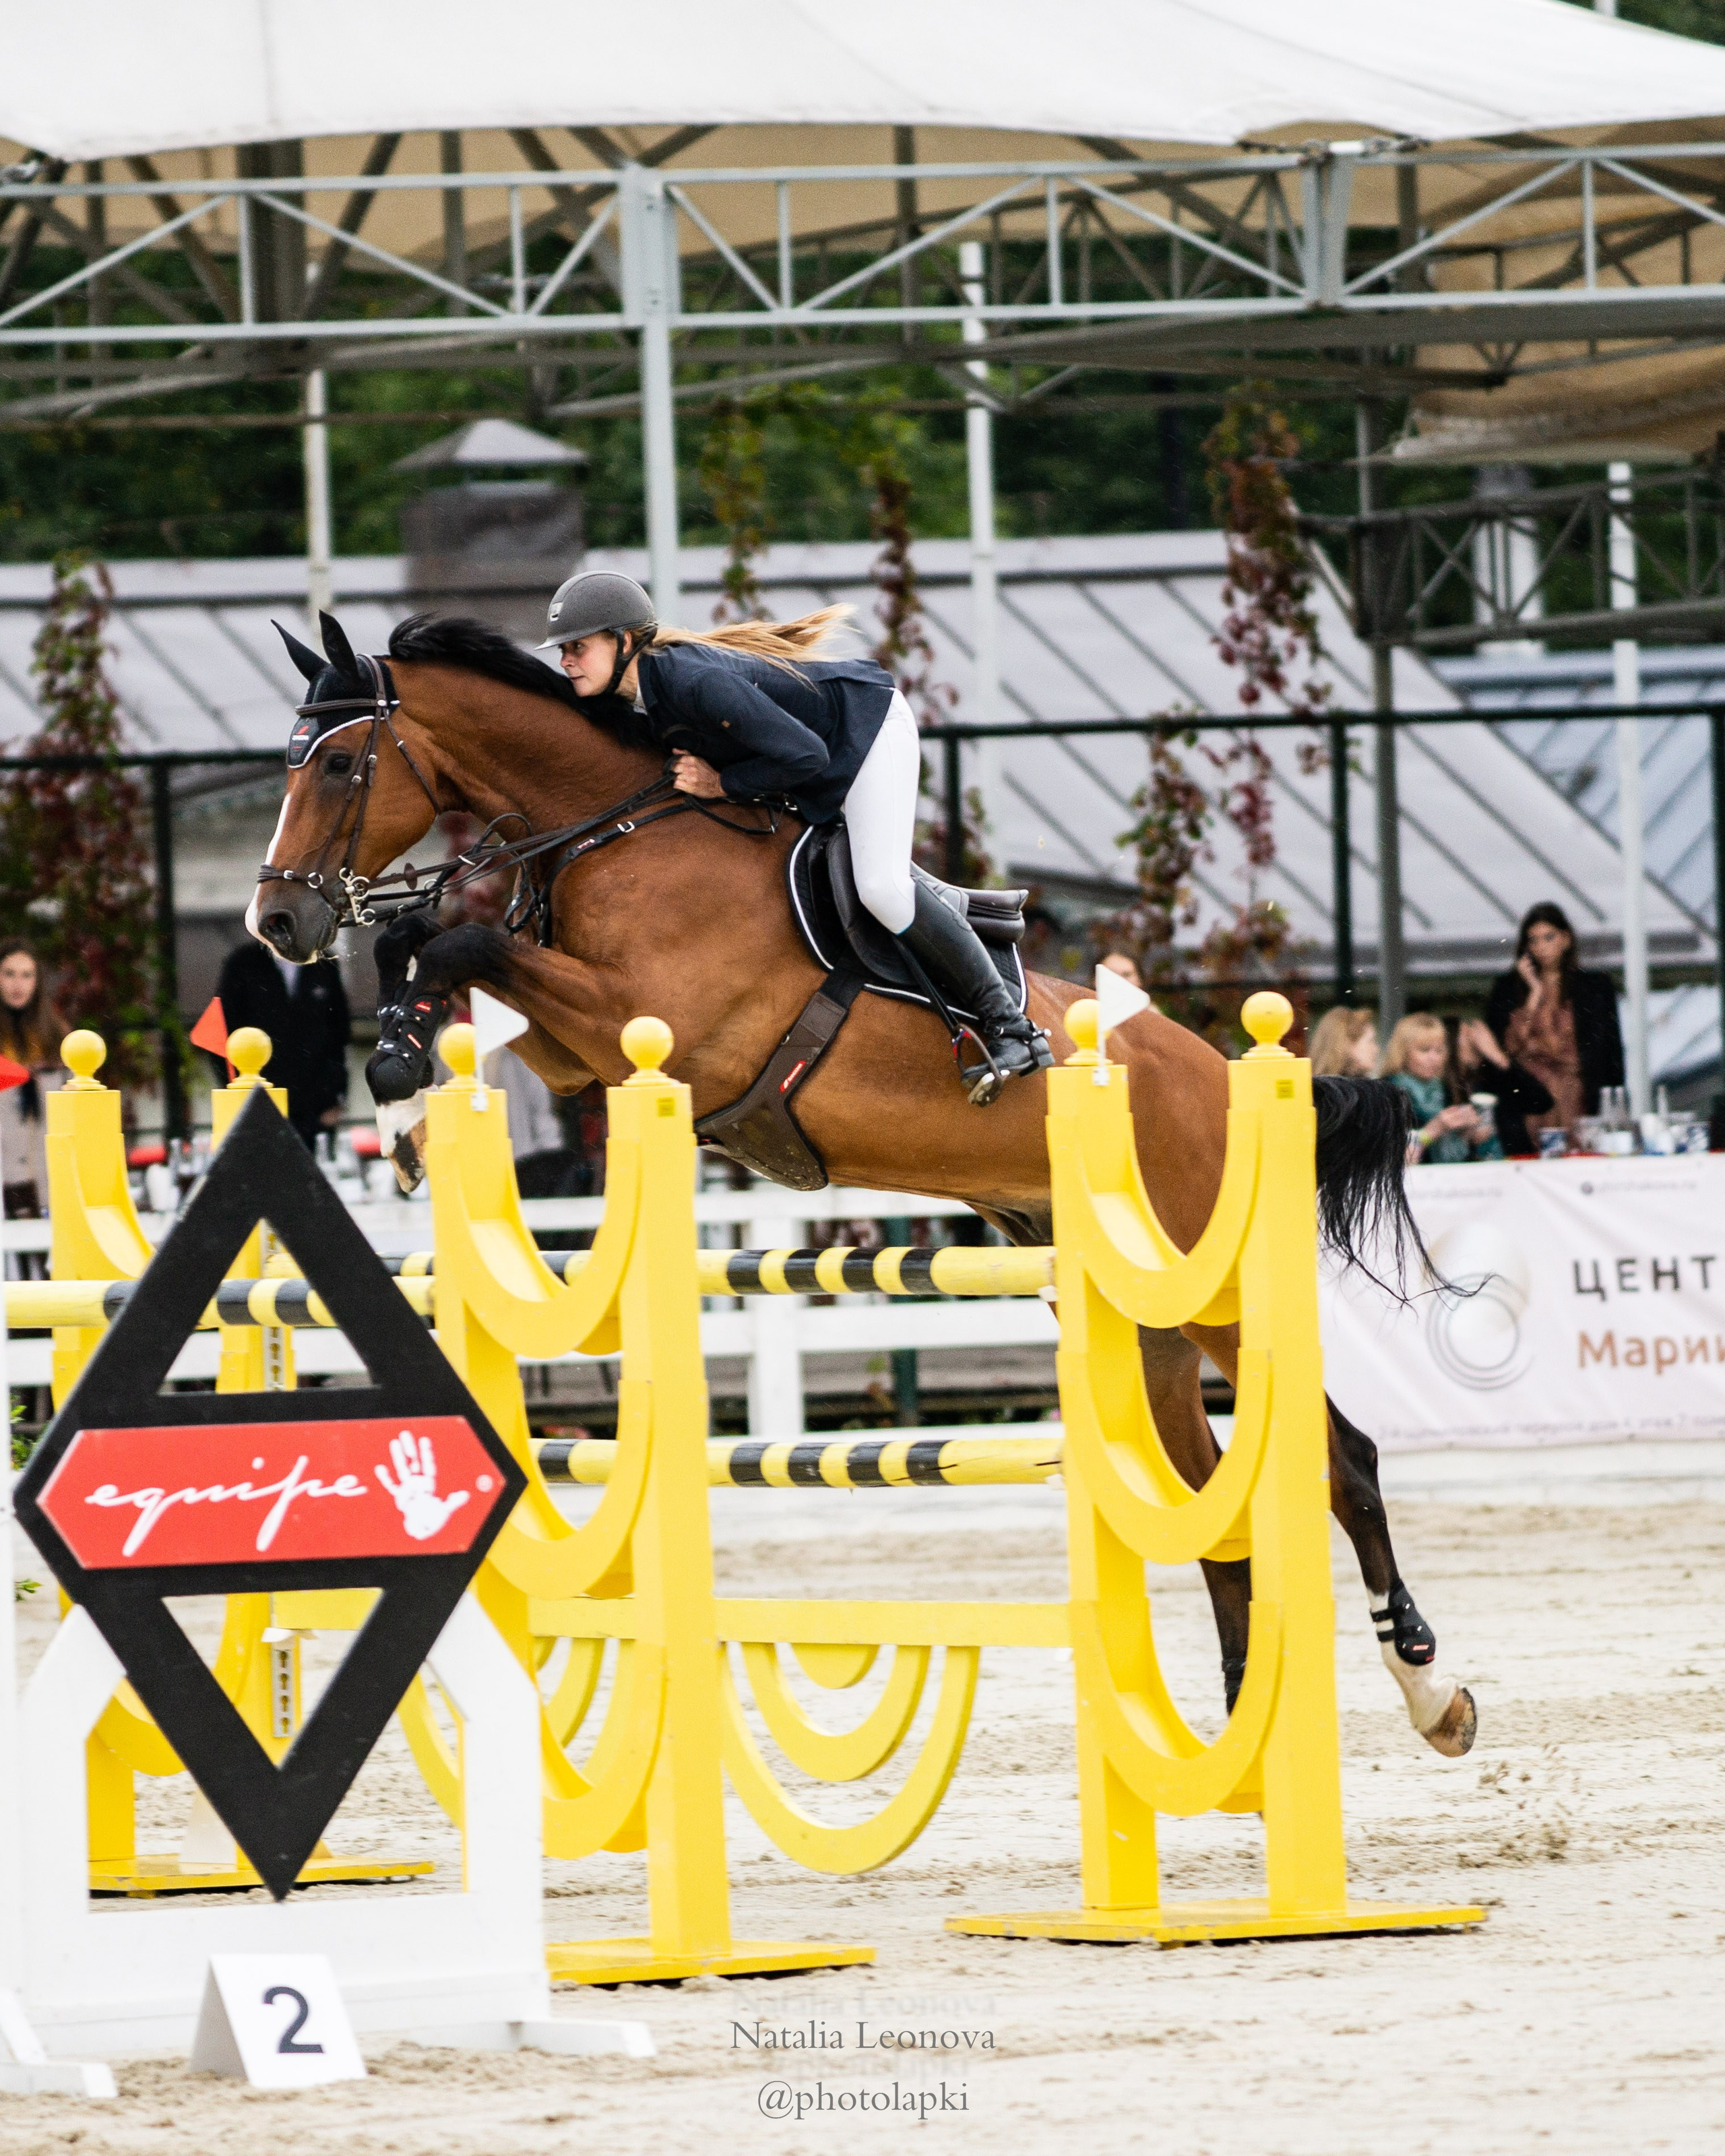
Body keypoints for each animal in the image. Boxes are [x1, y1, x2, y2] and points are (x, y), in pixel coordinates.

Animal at [251, 611, 1476, 1759]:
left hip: (1212, 1284)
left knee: (1343, 1459)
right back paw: (1233, 1729)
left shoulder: (652, 1027)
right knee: (1203, 1494)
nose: (278, 922)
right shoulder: (577, 1057)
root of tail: (1225, 1073)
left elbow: (456, 942)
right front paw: (402, 1094)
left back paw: (1430, 1689)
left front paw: (397, 1086)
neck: (614, 826)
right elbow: (431, 947)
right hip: (1139, 1314)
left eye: (341, 764)